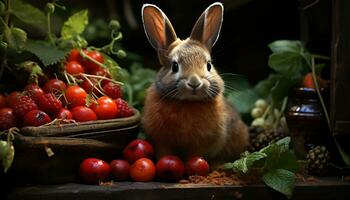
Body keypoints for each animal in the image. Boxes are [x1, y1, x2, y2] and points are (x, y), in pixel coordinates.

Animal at [140, 2, 249, 162]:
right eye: (175, 66)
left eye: (208, 65)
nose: (194, 83)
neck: (188, 103)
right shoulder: (162, 141)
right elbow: (164, 153)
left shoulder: (201, 143)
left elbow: (195, 155)